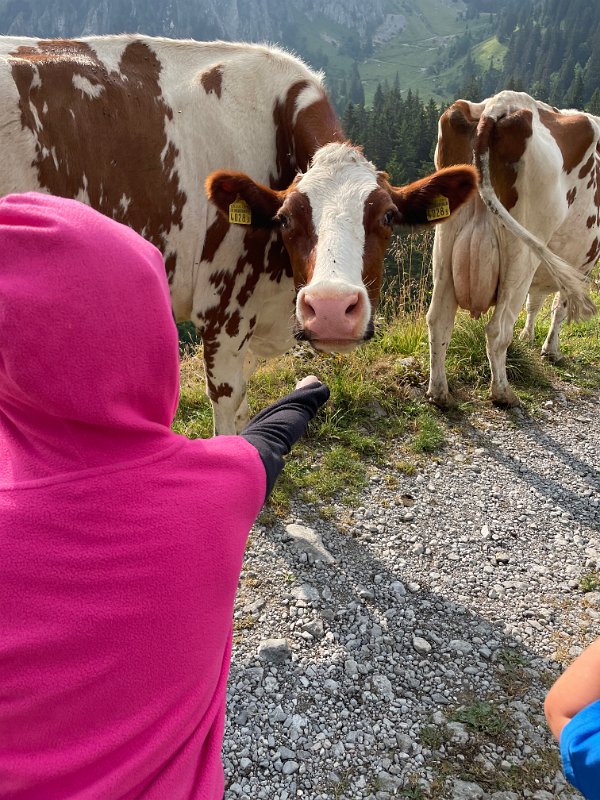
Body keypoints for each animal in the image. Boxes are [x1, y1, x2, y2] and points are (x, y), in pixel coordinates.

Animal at [427, 90, 599, 409]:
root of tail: (499, 104)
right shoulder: (580, 265)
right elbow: (559, 307)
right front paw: (550, 350)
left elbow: (537, 302)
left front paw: (529, 337)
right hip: (522, 253)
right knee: (497, 331)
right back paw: (503, 393)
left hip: (446, 243)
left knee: (439, 320)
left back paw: (439, 393)